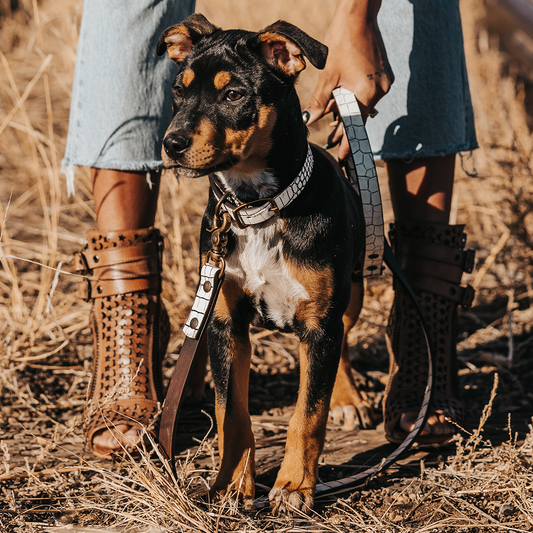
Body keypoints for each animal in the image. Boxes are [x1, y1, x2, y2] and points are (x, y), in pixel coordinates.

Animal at [157, 12, 374, 512]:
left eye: (234, 94)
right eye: (178, 89)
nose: (171, 144)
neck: (257, 207)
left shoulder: (320, 322)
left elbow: (308, 413)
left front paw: (294, 486)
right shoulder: (225, 318)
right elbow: (231, 412)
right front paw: (232, 484)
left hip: (352, 292)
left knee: (342, 344)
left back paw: (348, 396)